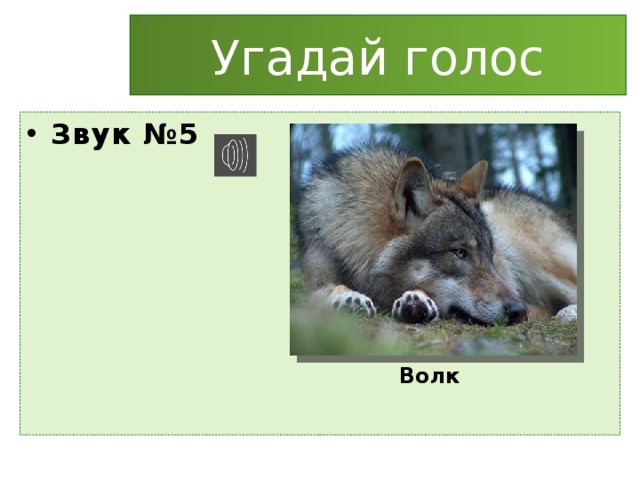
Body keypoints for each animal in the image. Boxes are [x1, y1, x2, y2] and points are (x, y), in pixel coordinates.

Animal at [297, 142, 577, 325]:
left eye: (490, 255)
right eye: (460, 253)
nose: (517, 310)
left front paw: (417, 300)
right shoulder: (314, 282)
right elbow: (328, 290)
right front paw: (349, 296)